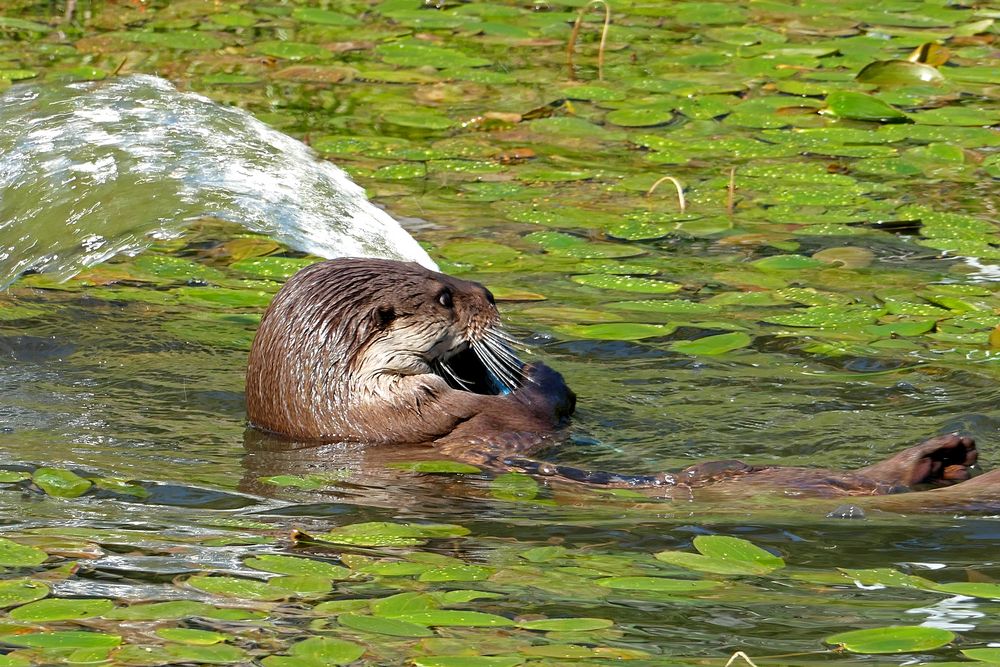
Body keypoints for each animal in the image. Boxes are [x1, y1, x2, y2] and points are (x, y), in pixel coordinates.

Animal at [244, 258, 1000, 498]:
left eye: (439, 277)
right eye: (443, 297)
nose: (487, 291)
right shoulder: (438, 415)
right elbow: (532, 408)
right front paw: (534, 370)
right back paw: (941, 458)